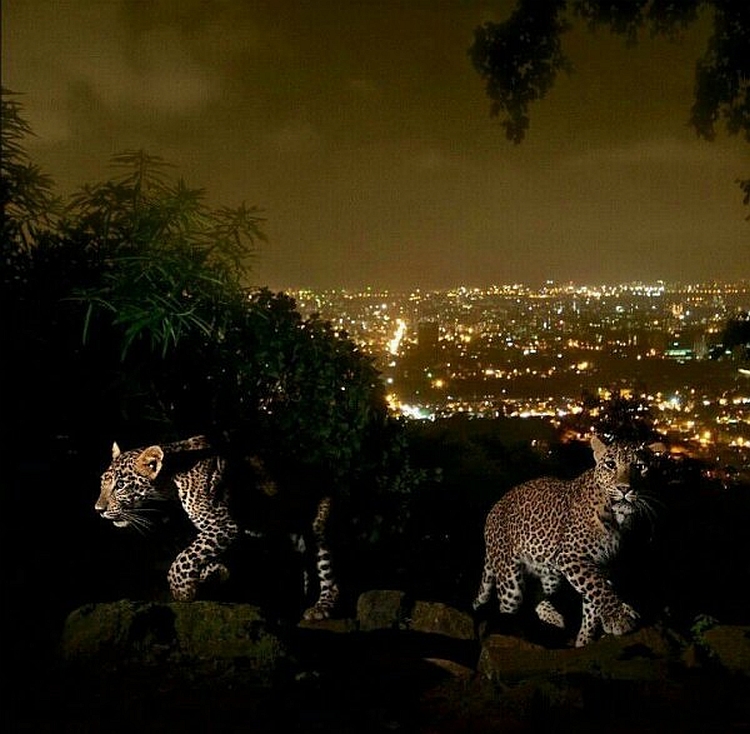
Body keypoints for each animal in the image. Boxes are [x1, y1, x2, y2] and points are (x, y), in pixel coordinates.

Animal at [96, 436, 340, 620]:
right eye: (102, 483)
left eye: (120, 485)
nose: (98, 509)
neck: (171, 482)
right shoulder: (232, 531)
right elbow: (202, 555)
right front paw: (213, 573)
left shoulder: (224, 524)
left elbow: (184, 558)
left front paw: (183, 591)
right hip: (291, 537)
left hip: (320, 530)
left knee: (329, 574)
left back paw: (320, 608)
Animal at [476, 436, 664, 648]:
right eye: (610, 465)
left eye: (640, 467)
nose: (625, 489)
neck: (618, 519)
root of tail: (494, 509)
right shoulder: (572, 557)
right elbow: (598, 588)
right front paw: (619, 618)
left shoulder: (602, 565)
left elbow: (593, 600)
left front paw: (585, 639)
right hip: (510, 580)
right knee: (508, 606)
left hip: (549, 573)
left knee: (539, 596)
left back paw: (554, 617)